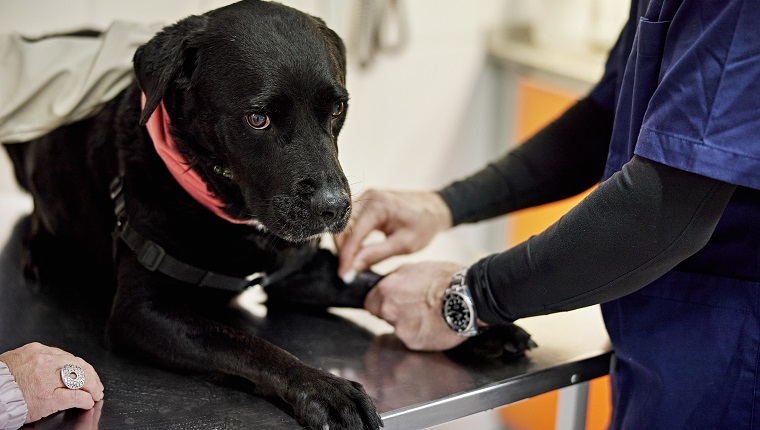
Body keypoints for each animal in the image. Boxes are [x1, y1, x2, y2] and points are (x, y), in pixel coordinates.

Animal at [2, 1, 536, 428]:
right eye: (257, 119)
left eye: (337, 108)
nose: (335, 207)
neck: (226, 209)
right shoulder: (141, 313)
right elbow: (248, 345)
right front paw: (325, 388)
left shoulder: (299, 273)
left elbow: (373, 281)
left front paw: (470, 327)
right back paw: (41, 255)